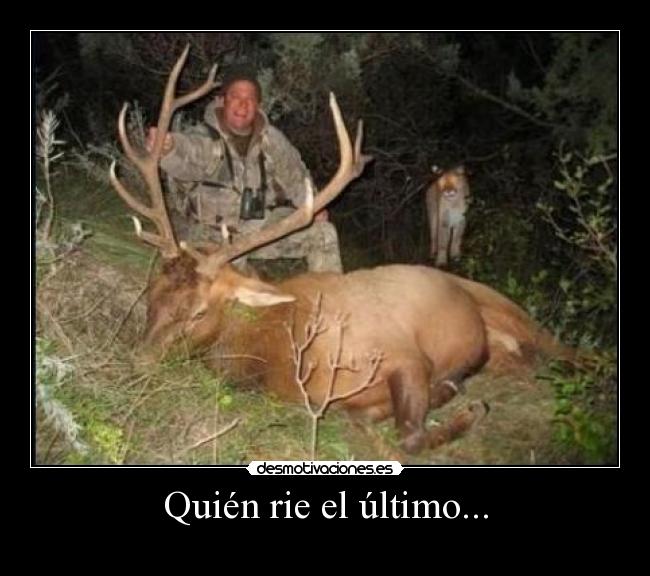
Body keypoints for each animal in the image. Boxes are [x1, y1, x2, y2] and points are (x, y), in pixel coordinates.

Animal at [110, 46, 566, 455]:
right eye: (151, 294)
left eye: (199, 311)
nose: (139, 362)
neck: (280, 354)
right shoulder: (349, 402)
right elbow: (372, 420)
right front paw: (452, 394)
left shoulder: (404, 355)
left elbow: (410, 437)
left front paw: (470, 408)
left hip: (510, 310)